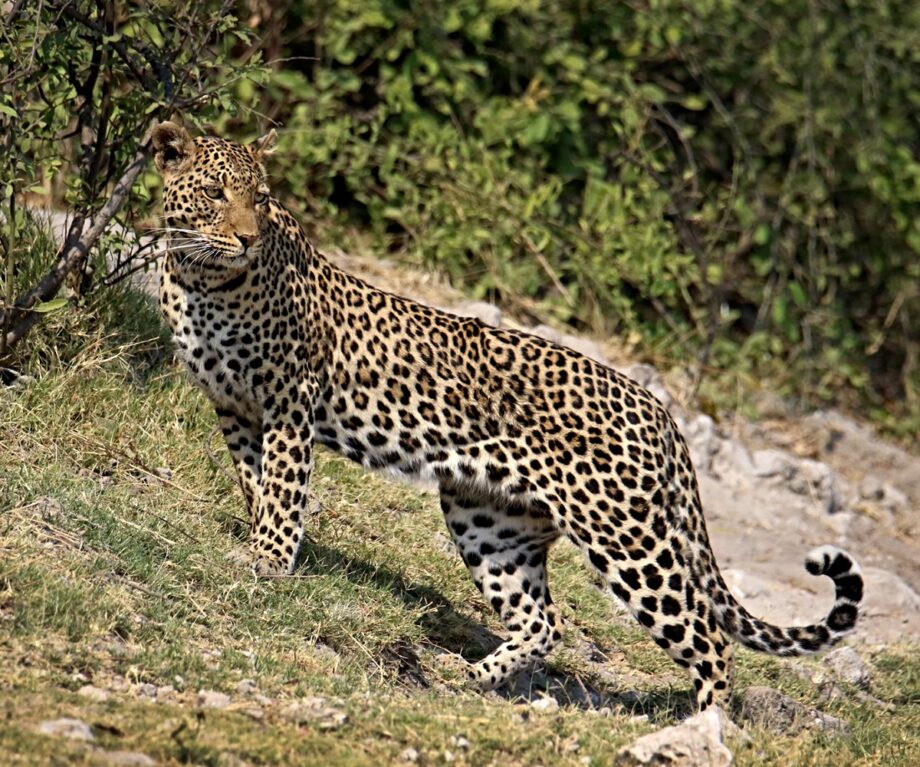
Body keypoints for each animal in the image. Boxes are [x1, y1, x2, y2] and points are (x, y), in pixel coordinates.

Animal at [152, 121, 864, 712]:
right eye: (216, 192)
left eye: (260, 198)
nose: (247, 237)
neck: (201, 277)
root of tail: (661, 412)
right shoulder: (234, 408)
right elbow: (255, 482)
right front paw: (256, 543)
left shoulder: (290, 399)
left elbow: (282, 487)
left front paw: (271, 562)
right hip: (490, 519)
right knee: (544, 622)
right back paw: (471, 678)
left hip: (628, 539)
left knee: (708, 637)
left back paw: (706, 726)